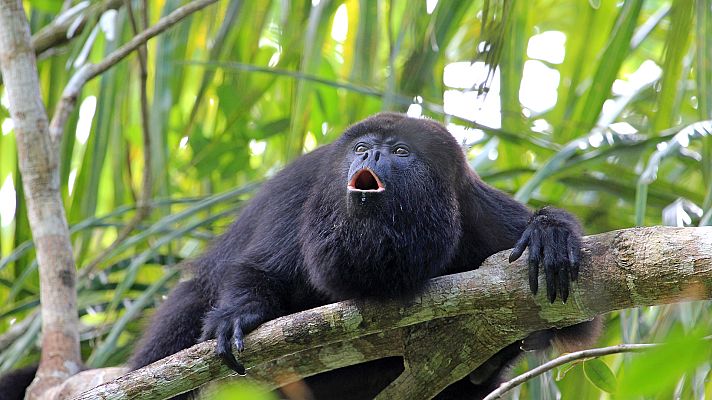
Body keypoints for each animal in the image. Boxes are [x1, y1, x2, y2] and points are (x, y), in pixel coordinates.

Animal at [0, 113, 599, 399]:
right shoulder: (309, 188)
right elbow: (256, 269)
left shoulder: (477, 213)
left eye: (401, 151)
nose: (371, 156)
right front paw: (239, 314)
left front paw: (550, 233)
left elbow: (577, 317)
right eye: (362, 148)